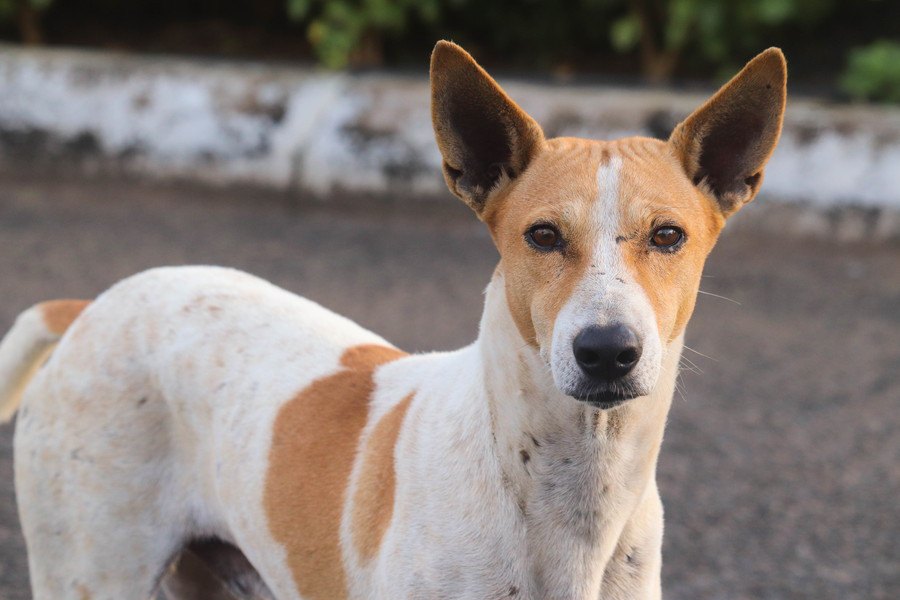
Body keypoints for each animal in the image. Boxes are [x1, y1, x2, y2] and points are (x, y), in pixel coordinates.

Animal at [0, 43, 788, 600]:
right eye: (541, 236)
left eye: (668, 236)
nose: (607, 351)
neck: (568, 490)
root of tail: (94, 304)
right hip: (89, 571)